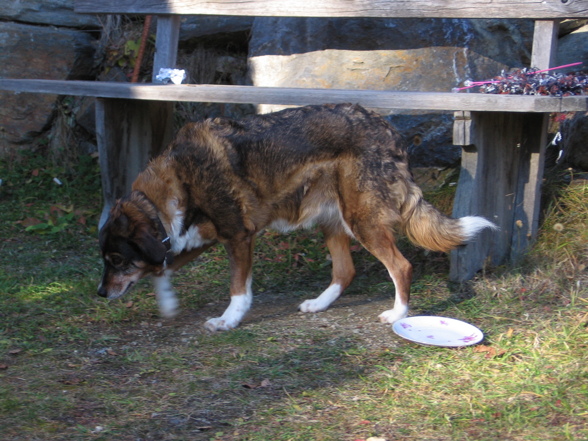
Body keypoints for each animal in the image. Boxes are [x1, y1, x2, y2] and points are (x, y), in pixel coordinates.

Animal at [97, 103, 496, 330]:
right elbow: (160, 268)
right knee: (345, 271)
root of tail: (388, 129)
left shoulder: (238, 236)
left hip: (362, 221)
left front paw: (228, 320)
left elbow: (237, 289)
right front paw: (167, 302)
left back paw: (397, 315)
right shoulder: (194, 238)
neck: (177, 182)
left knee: (400, 266)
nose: (100, 293)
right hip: (332, 220)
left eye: (116, 260)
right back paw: (320, 304)